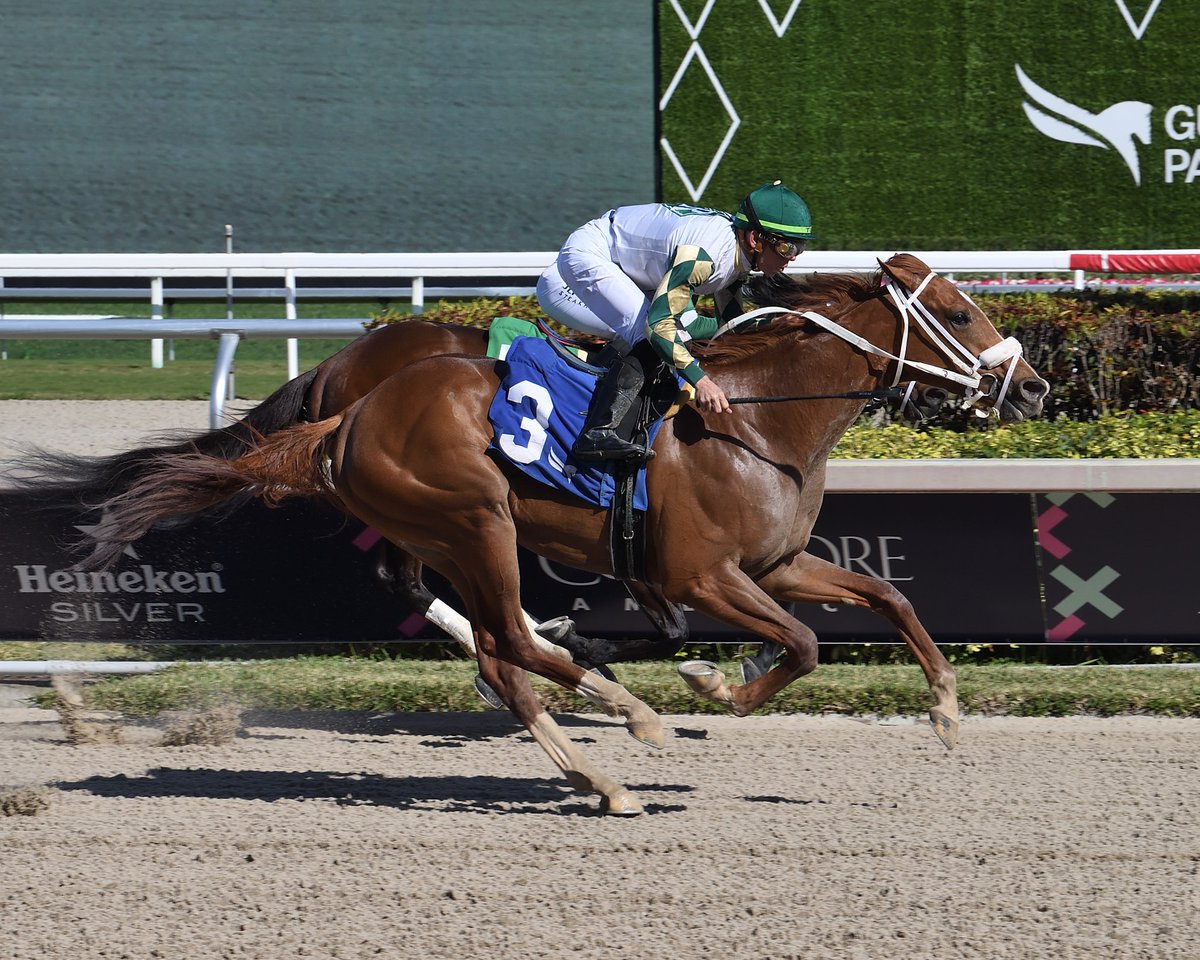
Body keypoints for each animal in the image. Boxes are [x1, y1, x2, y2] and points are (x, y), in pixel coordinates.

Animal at [77, 253, 1051, 811]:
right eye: (957, 314)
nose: (1034, 387)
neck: (758, 419)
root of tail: (344, 414)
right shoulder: (702, 576)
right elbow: (805, 646)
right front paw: (708, 683)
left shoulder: (776, 564)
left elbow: (887, 596)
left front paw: (946, 712)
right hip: (476, 520)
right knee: (503, 640)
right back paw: (627, 711)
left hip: (453, 535)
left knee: (499, 657)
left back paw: (600, 774)